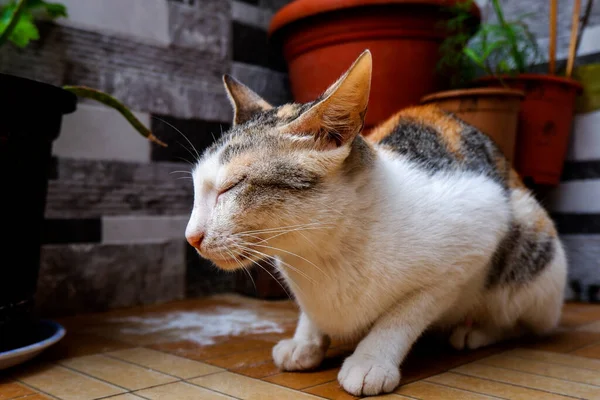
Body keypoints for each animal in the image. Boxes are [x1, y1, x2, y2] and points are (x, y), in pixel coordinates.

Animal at [186, 50, 568, 396]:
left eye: (232, 186)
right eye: (196, 188)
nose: (191, 237)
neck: (321, 254)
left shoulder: (470, 245)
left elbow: (405, 313)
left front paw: (371, 359)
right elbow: (311, 313)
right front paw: (306, 342)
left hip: (531, 239)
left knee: (526, 321)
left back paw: (477, 331)